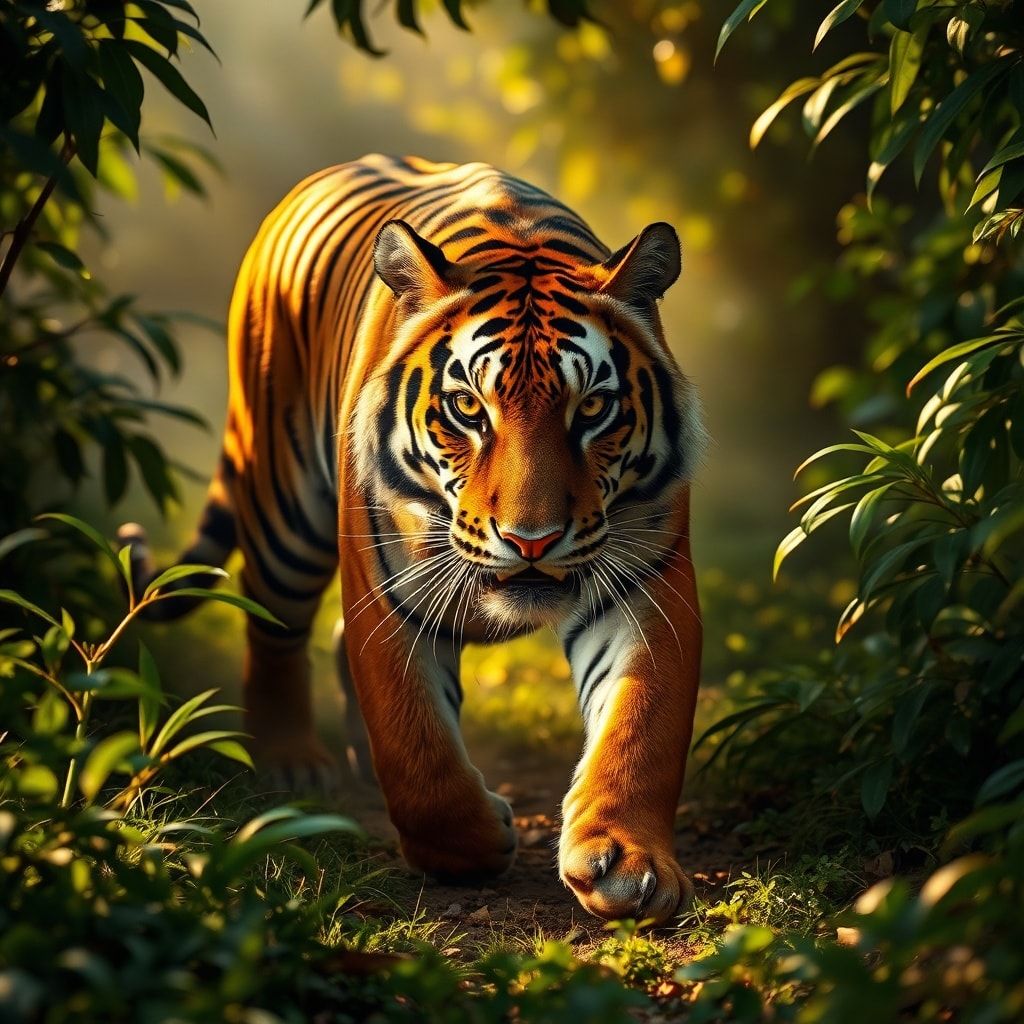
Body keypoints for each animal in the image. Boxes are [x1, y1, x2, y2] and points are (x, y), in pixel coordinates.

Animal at [120, 154, 706, 923]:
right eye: (467, 408)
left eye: (593, 410)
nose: (533, 541)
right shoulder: (384, 589)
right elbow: (415, 746)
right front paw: (478, 842)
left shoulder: (648, 580)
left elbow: (643, 724)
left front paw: (625, 858)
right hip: (284, 514)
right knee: (274, 629)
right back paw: (290, 761)